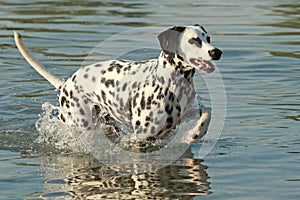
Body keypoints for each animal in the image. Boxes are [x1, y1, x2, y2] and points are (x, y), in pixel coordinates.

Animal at [13, 24, 220, 145]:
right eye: (194, 40)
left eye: (208, 38)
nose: (217, 52)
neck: (171, 80)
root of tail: (66, 84)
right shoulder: (141, 136)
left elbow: (207, 113)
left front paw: (195, 133)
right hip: (80, 125)